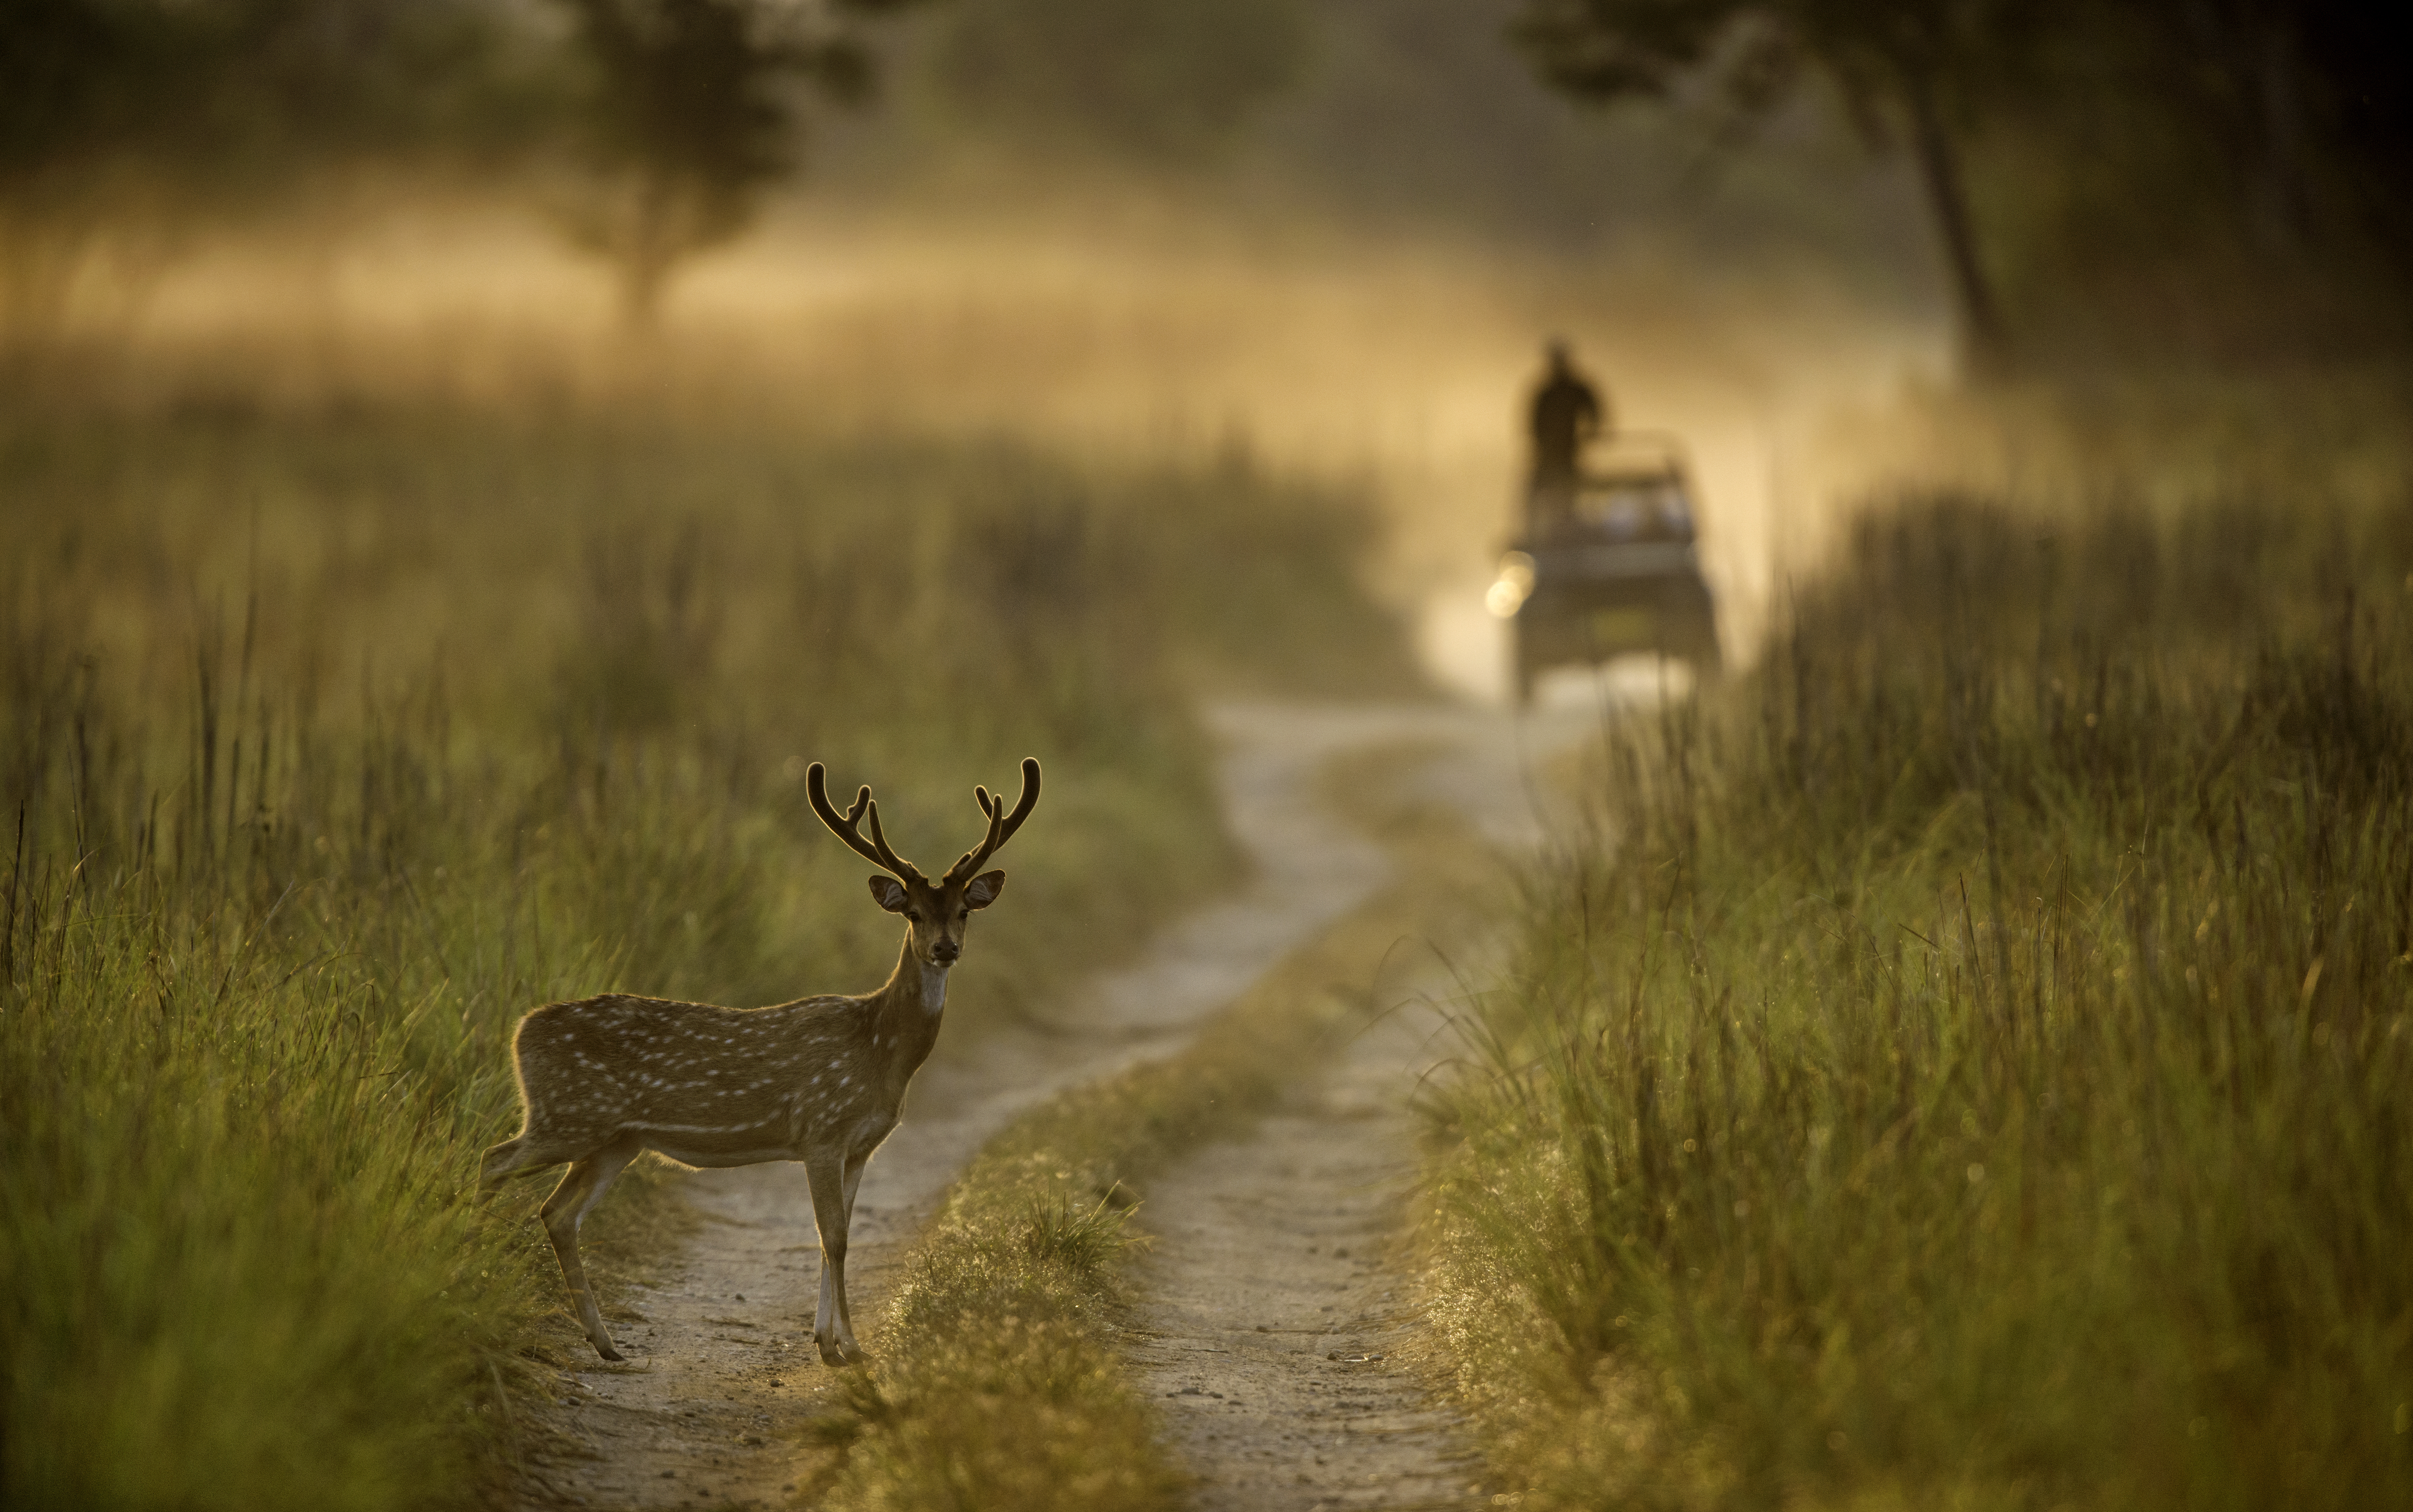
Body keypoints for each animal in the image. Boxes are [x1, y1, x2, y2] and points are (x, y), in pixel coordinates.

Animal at [479, 757, 1040, 1366]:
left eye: (963, 911)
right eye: (913, 913)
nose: (945, 948)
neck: (879, 1051)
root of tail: (521, 1030)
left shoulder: (861, 1146)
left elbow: (836, 1236)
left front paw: (828, 1340)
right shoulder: (821, 1129)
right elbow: (835, 1237)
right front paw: (850, 1347)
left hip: (615, 1139)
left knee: (558, 1213)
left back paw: (605, 1343)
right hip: (567, 1115)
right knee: (493, 1160)